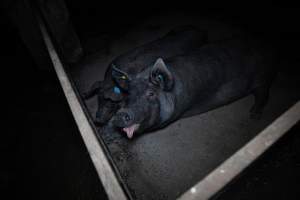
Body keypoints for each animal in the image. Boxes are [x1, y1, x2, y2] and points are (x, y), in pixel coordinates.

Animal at [111, 37, 276, 138]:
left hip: (263, 77)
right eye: (127, 94)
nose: (121, 113)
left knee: (263, 93)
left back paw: (253, 116)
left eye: (151, 93)